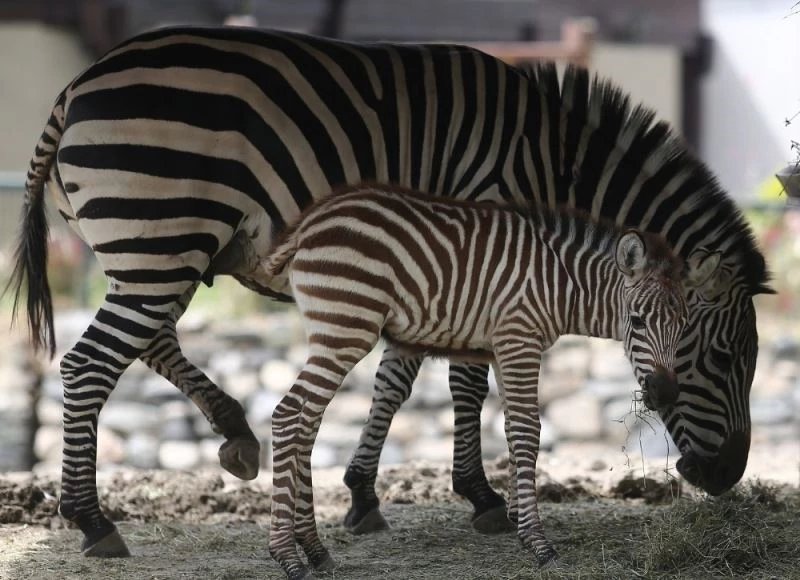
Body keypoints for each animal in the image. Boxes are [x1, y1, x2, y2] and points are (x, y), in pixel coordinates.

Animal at [261, 185, 698, 579]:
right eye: (636, 322)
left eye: (683, 326)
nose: (665, 392)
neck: (562, 284)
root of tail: (312, 221)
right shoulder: (519, 339)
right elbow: (527, 431)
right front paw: (538, 542)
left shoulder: (506, 347)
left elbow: (511, 429)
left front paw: (515, 517)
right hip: (347, 327)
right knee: (288, 416)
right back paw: (288, 557)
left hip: (331, 333)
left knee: (306, 423)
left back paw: (315, 549)